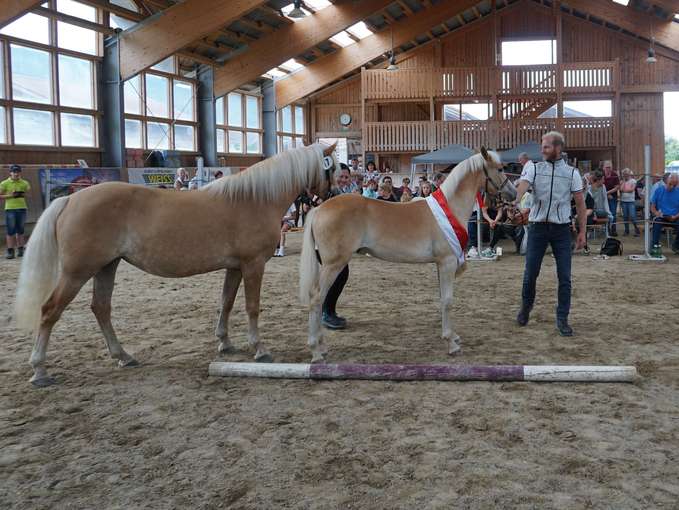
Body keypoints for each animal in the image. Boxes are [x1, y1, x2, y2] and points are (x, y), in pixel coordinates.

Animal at [17, 141, 340, 384]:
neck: (253, 199)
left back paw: (123, 356)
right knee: (50, 311)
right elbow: (251, 307)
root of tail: (70, 200)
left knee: (101, 308)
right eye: (334, 166)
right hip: (77, 272)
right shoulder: (253, 265)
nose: (333, 194)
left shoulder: (234, 267)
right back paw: (40, 369)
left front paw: (225, 343)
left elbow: (226, 303)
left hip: (106, 267)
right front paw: (259, 349)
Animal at [300, 146, 516, 362]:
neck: (449, 208)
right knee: (316, 299)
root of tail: (319, 209)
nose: (513, 194)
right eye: (499, 169)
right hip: (333, 264)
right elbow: (447, 301)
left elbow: (442, 298)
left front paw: (452, 336)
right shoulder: (447, 262)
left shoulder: (440, 264)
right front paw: (451, 343)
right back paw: (316, 351)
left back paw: (322, 346)